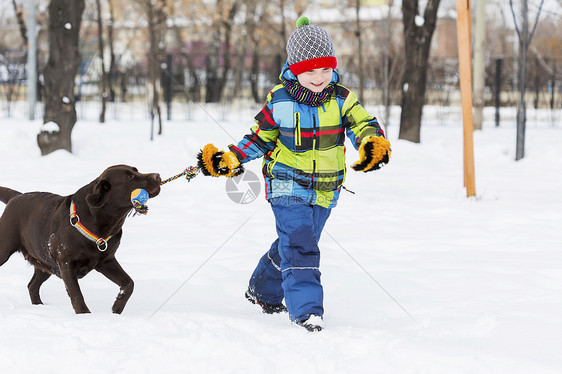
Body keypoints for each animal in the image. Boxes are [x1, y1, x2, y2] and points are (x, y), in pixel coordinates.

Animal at [0, 165, 160, 314]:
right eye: (129, 177)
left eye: (136, 170)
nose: (157, 175)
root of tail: (15, 197)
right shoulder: (66, 264)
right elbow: (76, 294)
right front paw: (85, 315)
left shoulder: (106, 261)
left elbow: (129, 283)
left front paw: (117, 307)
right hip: (6, 250)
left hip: (45, 262)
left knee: (32, 285)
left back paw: (39, 307)